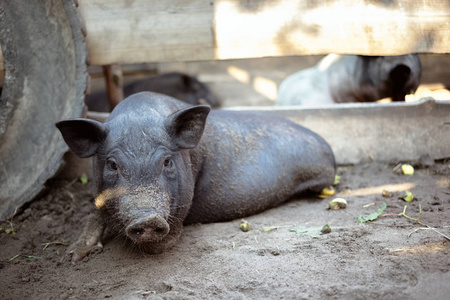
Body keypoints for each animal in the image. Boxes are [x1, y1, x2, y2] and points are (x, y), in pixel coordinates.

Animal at [56, 91, 336, 262]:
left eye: (167, 161)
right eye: (112, 165)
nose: (148, 218)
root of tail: (328, 148)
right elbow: (94, 215)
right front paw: (71, 256)